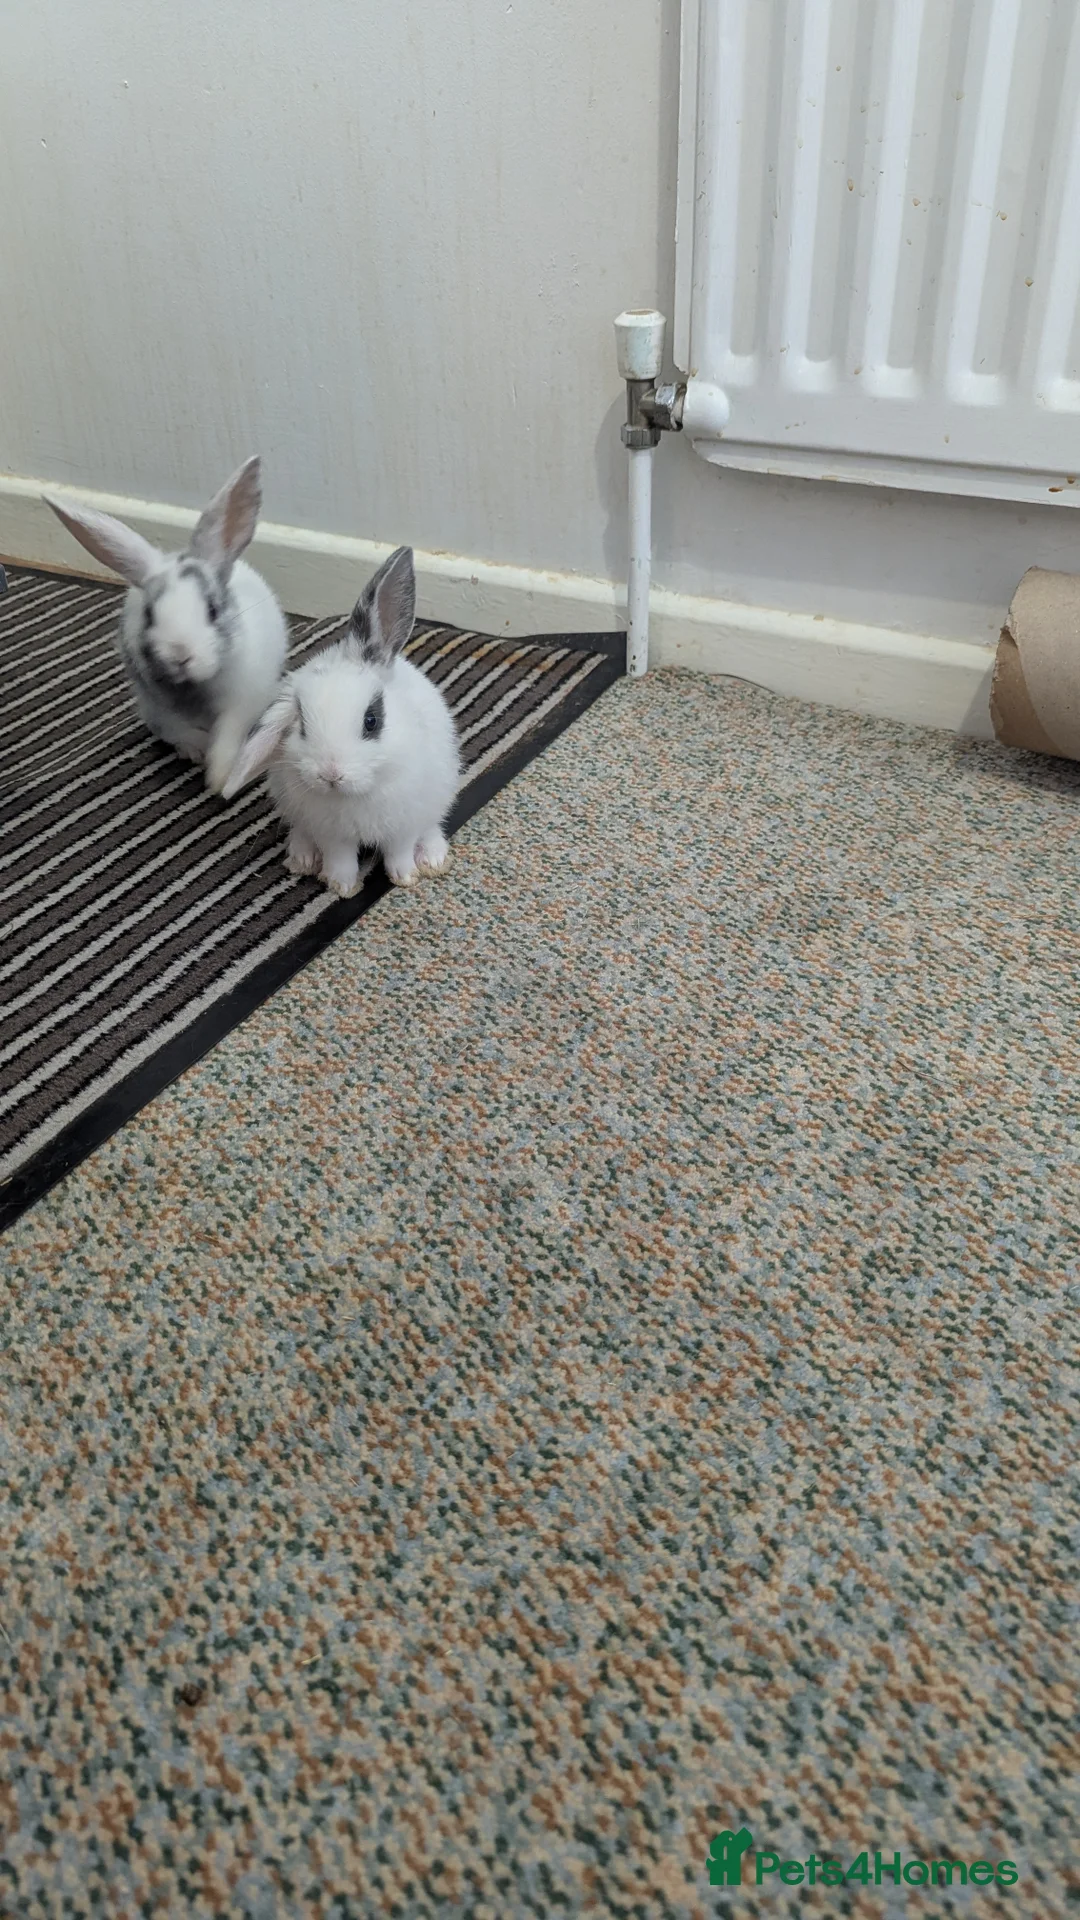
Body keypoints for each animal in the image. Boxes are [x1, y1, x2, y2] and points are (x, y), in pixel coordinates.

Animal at [43, 457, 288, 796]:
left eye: (212, 610)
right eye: (149, 614)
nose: (180, 654)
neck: (193, 690)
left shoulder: (243, 702)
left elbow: (227, 739)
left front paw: (218, 778)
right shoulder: (159, 710)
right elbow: (181, 732)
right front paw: (197, 752)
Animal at [222, 545, 460, 897]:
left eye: (371, 721)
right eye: (302, 725)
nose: (331, 774)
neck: (356, 794)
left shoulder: (403, 825)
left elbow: (399, 852)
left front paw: (405, 877)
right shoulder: (332, 834)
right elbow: (340, 858)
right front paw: (342, 886)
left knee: (430, 827)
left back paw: (433, 858)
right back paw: (302, 858)